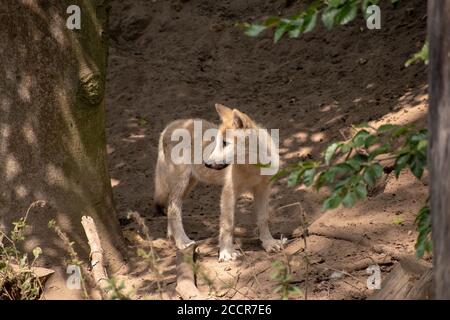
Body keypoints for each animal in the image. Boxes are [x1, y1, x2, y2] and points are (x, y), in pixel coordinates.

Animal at [155, 104, 282, 262]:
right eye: (216, 142)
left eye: (225, 143)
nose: (207, 163)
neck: (253, 166)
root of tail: (168, 126)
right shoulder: (229, 192)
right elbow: (228, 225)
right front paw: (226, 252)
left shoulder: (263, 189)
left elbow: (263, 218)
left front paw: (269, 243)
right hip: (182, 182)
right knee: (173, 208)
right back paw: (182, 242)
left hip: (189, 184)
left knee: (171, 205)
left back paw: (172, 236)